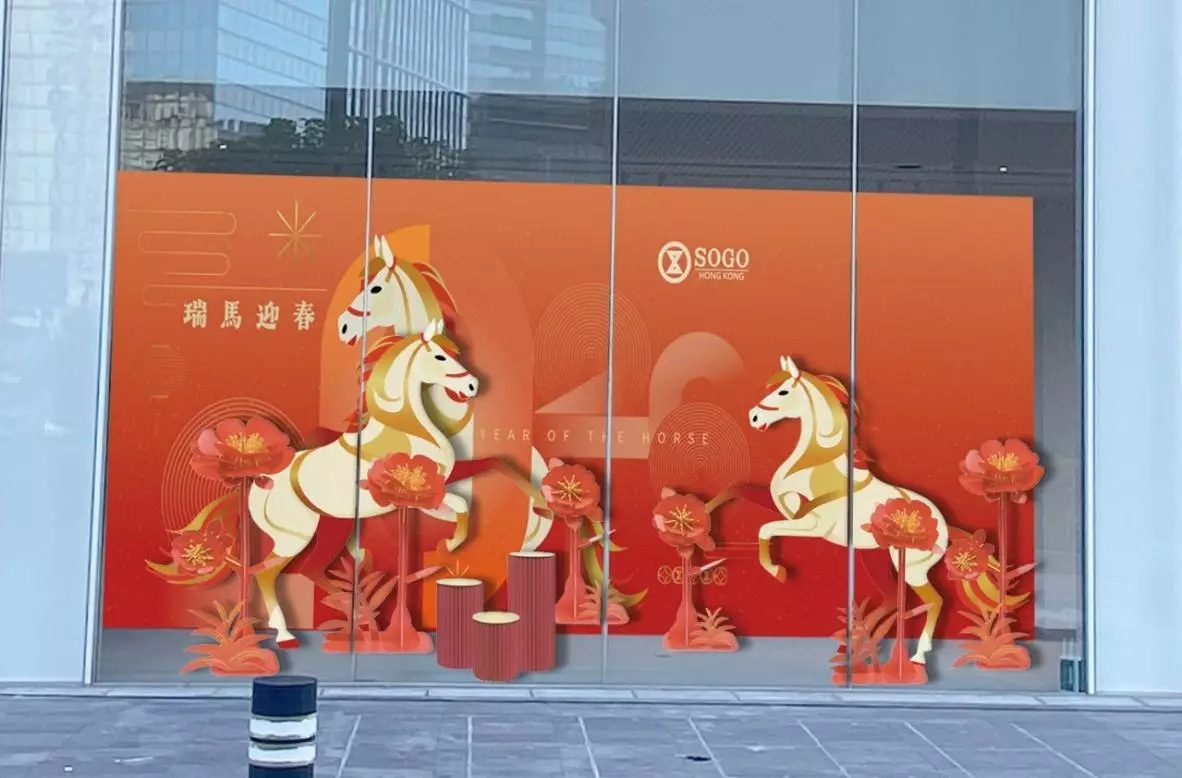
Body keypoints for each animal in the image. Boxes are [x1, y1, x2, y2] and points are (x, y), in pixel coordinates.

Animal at [249, 320, 476, 648]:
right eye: (440, 356)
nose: (472, 386)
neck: (406, 430)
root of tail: (264, 480)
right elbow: (460, 505)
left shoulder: (426, 498)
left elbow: (461, 506)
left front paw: (448, 547)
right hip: (297, 536)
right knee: (272, 574)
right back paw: (288, 635)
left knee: (310, 569)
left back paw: (358, 614)